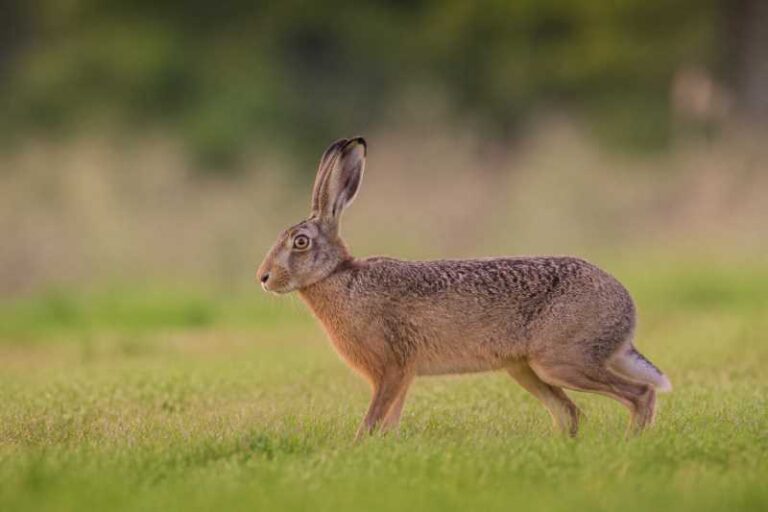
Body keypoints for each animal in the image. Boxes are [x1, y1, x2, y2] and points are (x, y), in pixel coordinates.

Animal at [257, 137, 672, 439]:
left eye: (300, 242)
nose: (263, 278)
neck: (338, 277)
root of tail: (626, 309)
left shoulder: (391, 367)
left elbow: (373, 420)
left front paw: (358, 447)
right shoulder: (402, 375)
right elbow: (389, 421)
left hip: (563, 359)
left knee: (640, 394)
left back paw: (632, 443)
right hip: (527, 368)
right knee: (571, 413)